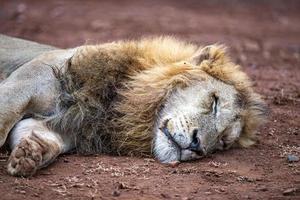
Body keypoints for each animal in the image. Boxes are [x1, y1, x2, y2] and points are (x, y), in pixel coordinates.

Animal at [0, 34, 268, 177]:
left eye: (223, 142)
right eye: (214, 102)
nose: (197, 147)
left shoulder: (67, 127)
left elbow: (39, 137)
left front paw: (31, 153)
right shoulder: (21, 87)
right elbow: (3, 122)